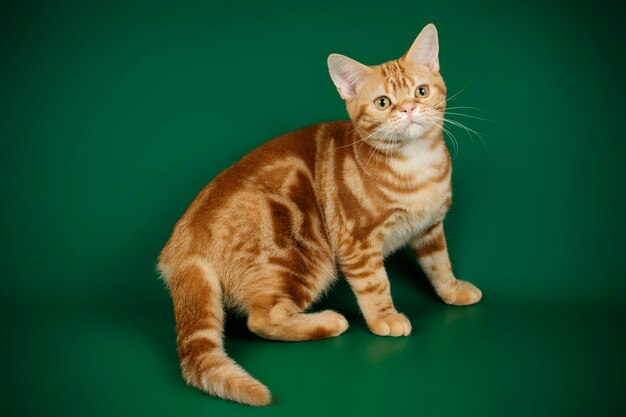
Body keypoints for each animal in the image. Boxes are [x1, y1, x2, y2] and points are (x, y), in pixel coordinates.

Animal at [158, 23, 480, 406]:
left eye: (422, 90)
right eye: (383, 102)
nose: (409, 108)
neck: (416, 166)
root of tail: (185, 239)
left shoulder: (429, 227)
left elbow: (439, 263)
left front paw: (453, 290)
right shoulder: (356, 241)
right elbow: (375, 284)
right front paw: (385, 318)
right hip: (302, 254)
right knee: (262, 318)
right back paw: (328, 322)